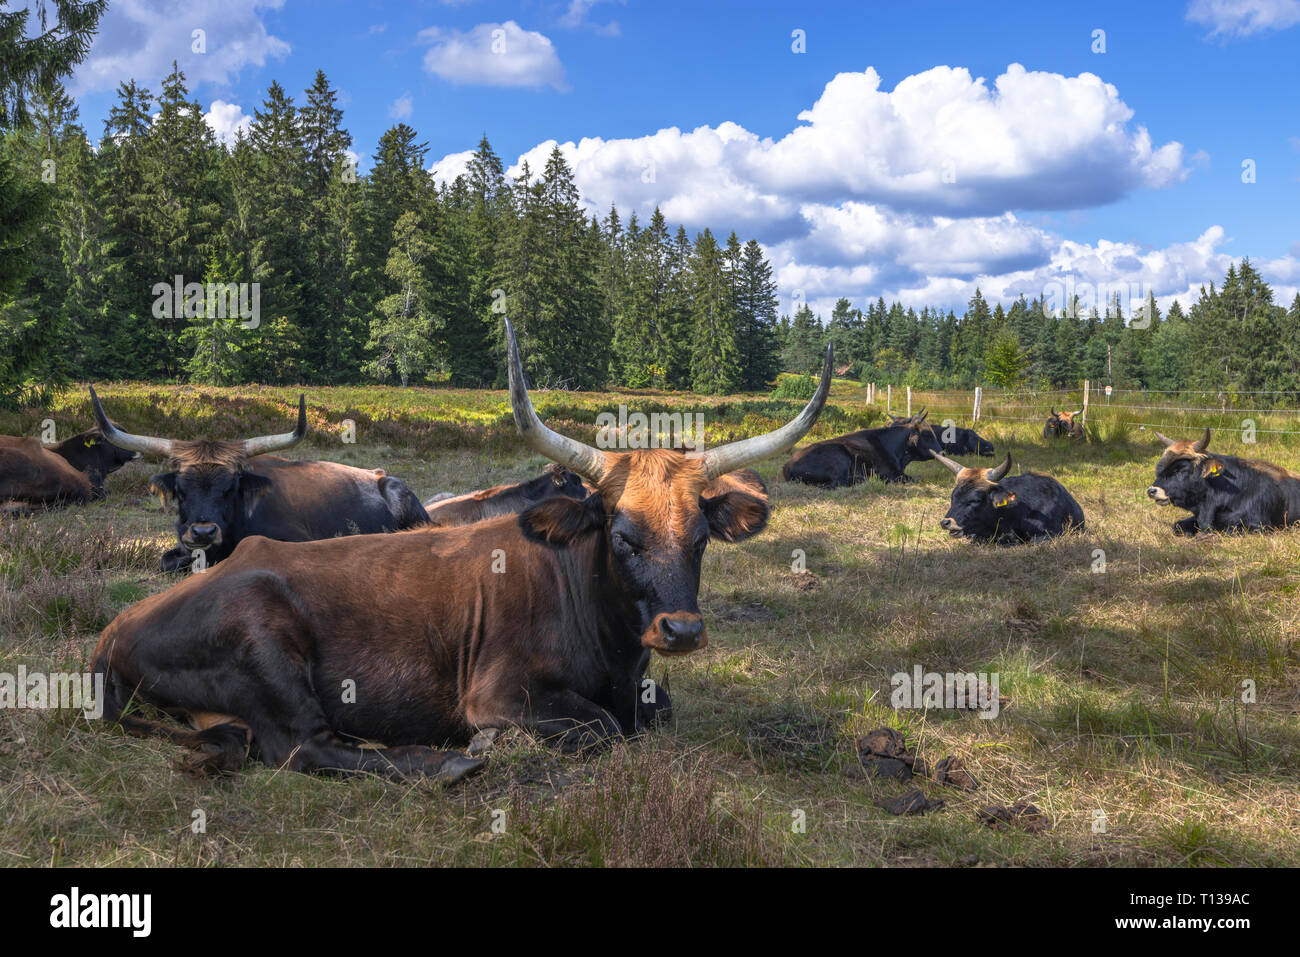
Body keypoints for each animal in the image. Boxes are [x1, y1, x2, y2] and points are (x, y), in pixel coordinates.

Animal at [91, 325, 832, 780]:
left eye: (701, 537)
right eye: (621, 535)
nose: (681, 630)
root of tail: (113, 631)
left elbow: (656, 713)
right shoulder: (502, 690)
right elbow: (601, 728)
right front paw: (491, 740)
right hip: (264, 638)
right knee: (303, 746)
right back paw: (452, 762)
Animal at [780, 408, 946, 486]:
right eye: (927, 434)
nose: (942, 453)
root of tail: (787, 466)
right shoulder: (891, 474)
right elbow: (912, 478)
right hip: (840, 458)